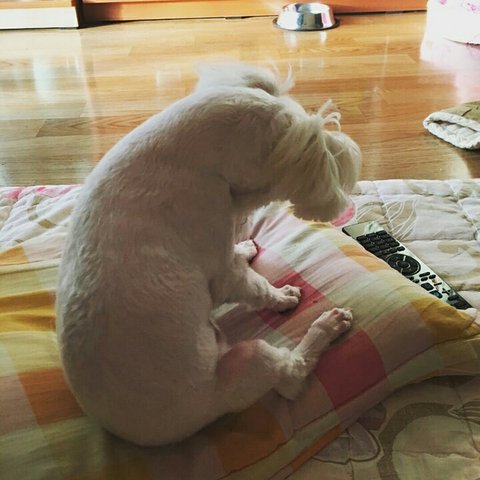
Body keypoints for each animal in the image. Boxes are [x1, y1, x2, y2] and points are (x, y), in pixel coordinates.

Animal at [56, 63, 362, 446]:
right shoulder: (221, 267)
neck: (182, 151)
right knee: (291, 375)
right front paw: (282, 297)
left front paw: (244, 247)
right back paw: (327, 326)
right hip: (250, 360)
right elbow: (256, 287)